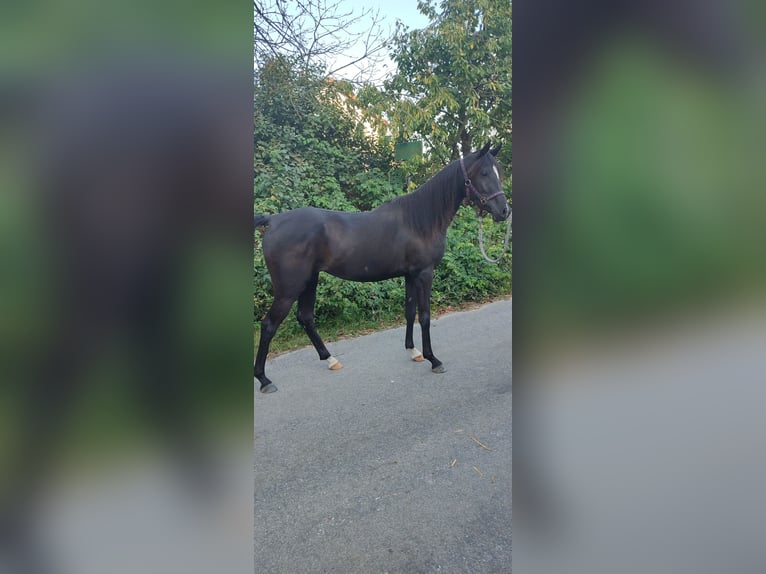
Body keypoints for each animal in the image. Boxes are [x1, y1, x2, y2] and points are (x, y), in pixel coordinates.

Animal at [255, 142, 512, 394]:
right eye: (485, 173)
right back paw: (264, 380)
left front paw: (414, 351)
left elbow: (409, 311)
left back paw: (330, 359)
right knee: (269, 325)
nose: (504, 211)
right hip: (289, 288)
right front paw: (433, 360)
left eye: (498, 171)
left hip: (310, 280)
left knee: (305, 317)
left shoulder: (410, 275)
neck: (420, 220)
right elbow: (425, 316)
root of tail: (273, 221)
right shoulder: (424, 274)